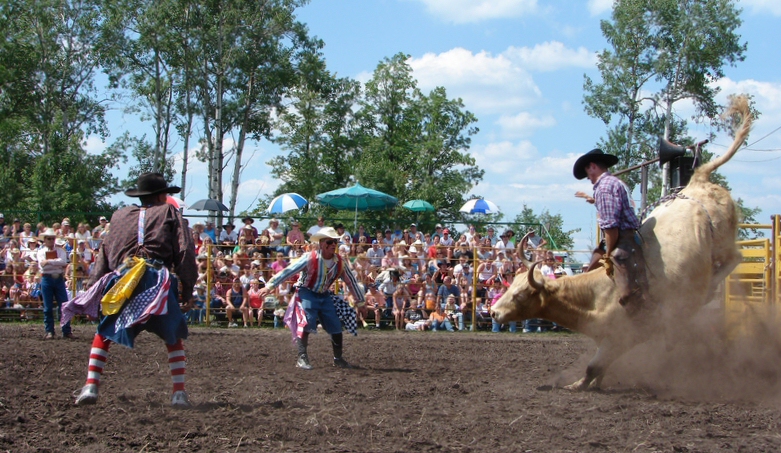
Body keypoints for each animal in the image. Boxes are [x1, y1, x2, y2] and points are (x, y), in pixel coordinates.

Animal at [490, 95, 752, 388]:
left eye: (520, 294)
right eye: (510, 286)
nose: (493, 313)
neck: (594, 296)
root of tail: (698, 181)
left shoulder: (623, 336)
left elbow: (594, 366)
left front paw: (577, 385)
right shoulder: (609, 339)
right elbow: (598, 368)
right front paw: (584, 384)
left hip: (721, 240)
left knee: (734, 259)